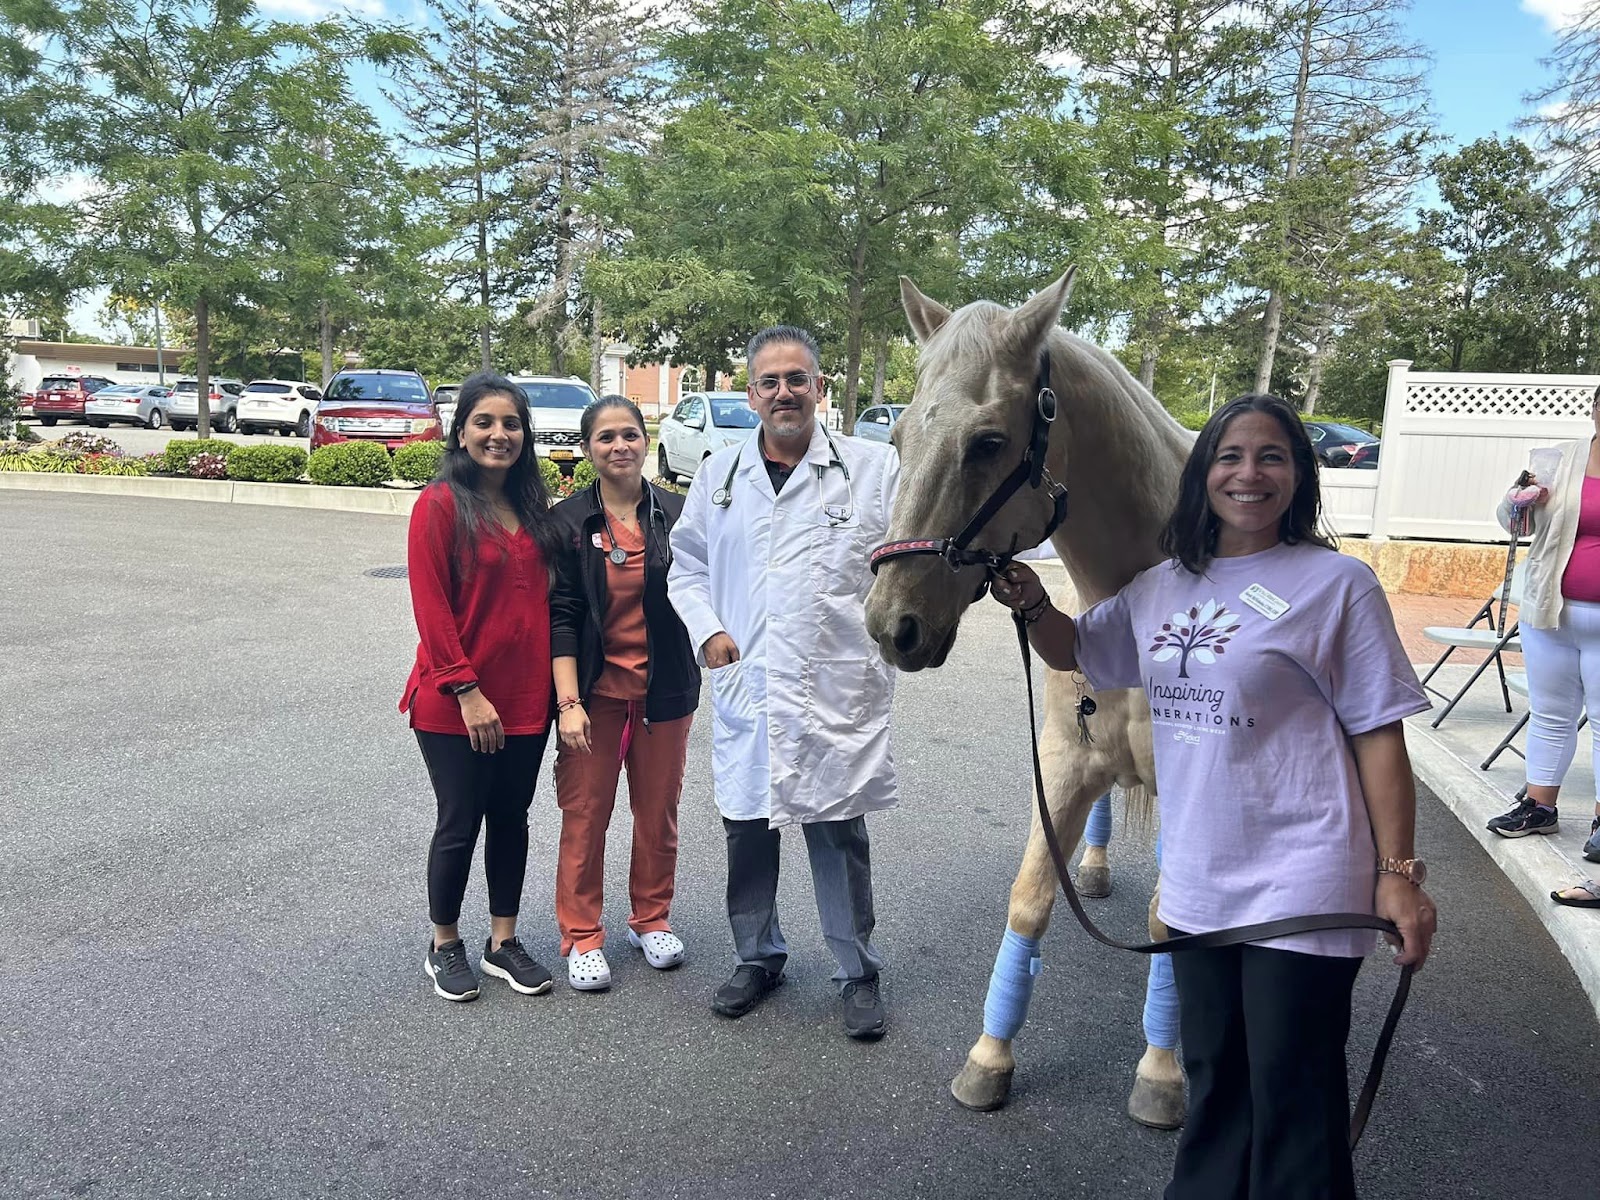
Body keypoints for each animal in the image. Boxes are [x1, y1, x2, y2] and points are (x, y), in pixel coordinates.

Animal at [864, 270, 1203, 1126]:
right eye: (898, 438)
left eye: (988, 444)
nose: (891, 626)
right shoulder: (1062, 762)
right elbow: (1029, 900)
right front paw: (989, 1057)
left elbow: (1168, 920)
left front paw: (1162, 1071)